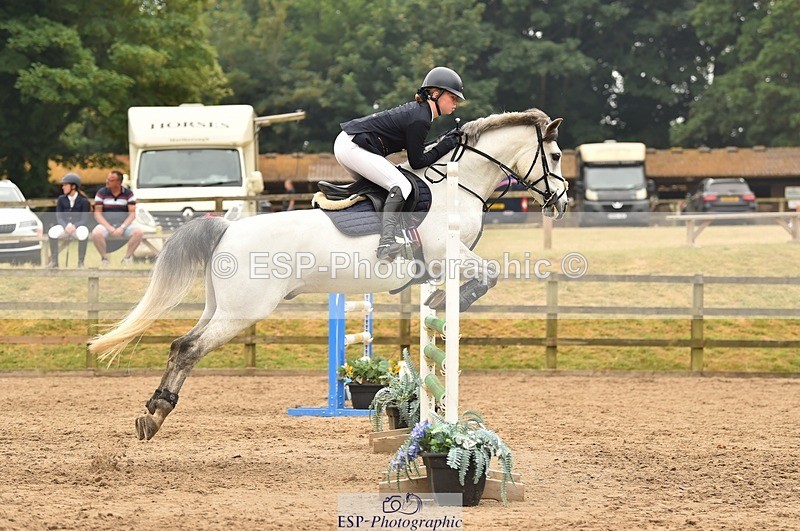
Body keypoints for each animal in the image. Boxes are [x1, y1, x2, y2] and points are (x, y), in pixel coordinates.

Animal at [89, 108, 568, 440]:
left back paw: (153, 412)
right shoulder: (446, 255)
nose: (561, 202)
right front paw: (446, 300)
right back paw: (156, 414)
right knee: (189, 348)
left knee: (179, 345)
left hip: (219, 307)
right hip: (242, 311)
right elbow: (489, 275)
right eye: (556, 155)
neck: (456, 185)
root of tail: (227, 227)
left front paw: (437, 301)